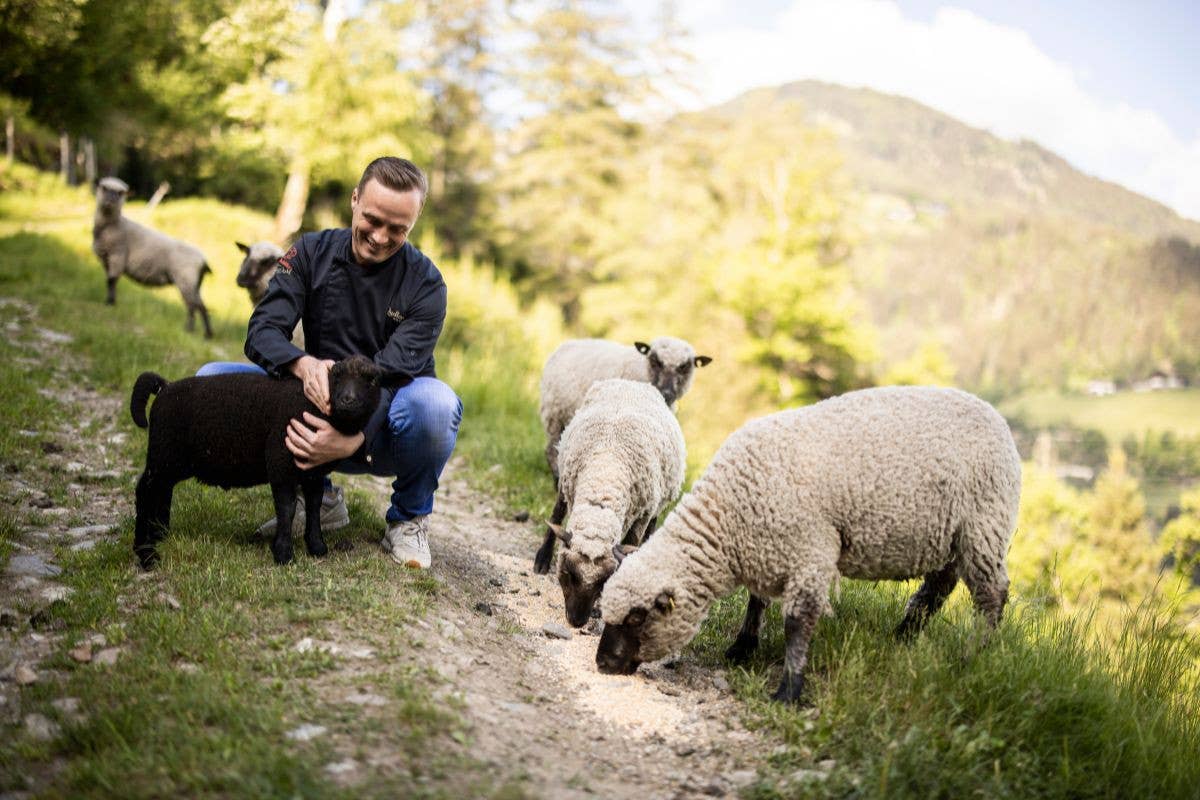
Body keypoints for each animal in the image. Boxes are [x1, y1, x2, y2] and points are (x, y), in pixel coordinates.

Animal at [91, 176, 213, 335]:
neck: (114, 225)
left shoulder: (117, 256)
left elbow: (111, 281)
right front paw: (111, 301)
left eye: (120, 193)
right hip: (194, 283)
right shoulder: (106, 260)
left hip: (185, 279)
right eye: (104, 188)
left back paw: (189, 330)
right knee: (201, 305)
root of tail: (203, 259)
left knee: (192, 305)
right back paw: (207, 334)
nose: (110, 201)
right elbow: (110, 281)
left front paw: (109, 303)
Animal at [130, 355, 379, 568]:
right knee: (145, 491)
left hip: (172, 460)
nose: (347, 401)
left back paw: (160, 534)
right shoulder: (280, 463)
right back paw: (146, 553)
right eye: (336, 375)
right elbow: (287, 509)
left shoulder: (314, 471)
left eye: (372, 380)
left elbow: (314, 506)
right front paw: (283, 554)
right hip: (164, 454)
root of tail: (165, 387)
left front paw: (317, 547)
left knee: (162, 489)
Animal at [530, 338, 705, 575]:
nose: (668, 392)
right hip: (555, 419)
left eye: (685, 366)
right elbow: (557, 514)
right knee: (551, 455)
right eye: (655, 360)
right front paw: (543, 559)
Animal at [547, 379, 686, 628]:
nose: (577, 622)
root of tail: (636, 383)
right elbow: (556, 515)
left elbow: (632, 544)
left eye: (603, 582)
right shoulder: (566, 484)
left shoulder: (642, 514)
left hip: (657, 505)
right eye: (569, 574)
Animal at [595, 383, 1017, 705]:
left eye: (637, 617)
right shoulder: (767, 547)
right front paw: (742, 648)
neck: (728, 516)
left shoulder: (810, 554)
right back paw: (903, 637)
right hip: (949, 535)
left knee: (992, 595)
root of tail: (996, 417)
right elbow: (757, 600)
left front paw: (788, 692)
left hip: (985, 526)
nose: (602, 664)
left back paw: (971, 656)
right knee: (938, 587)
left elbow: (797, 624)